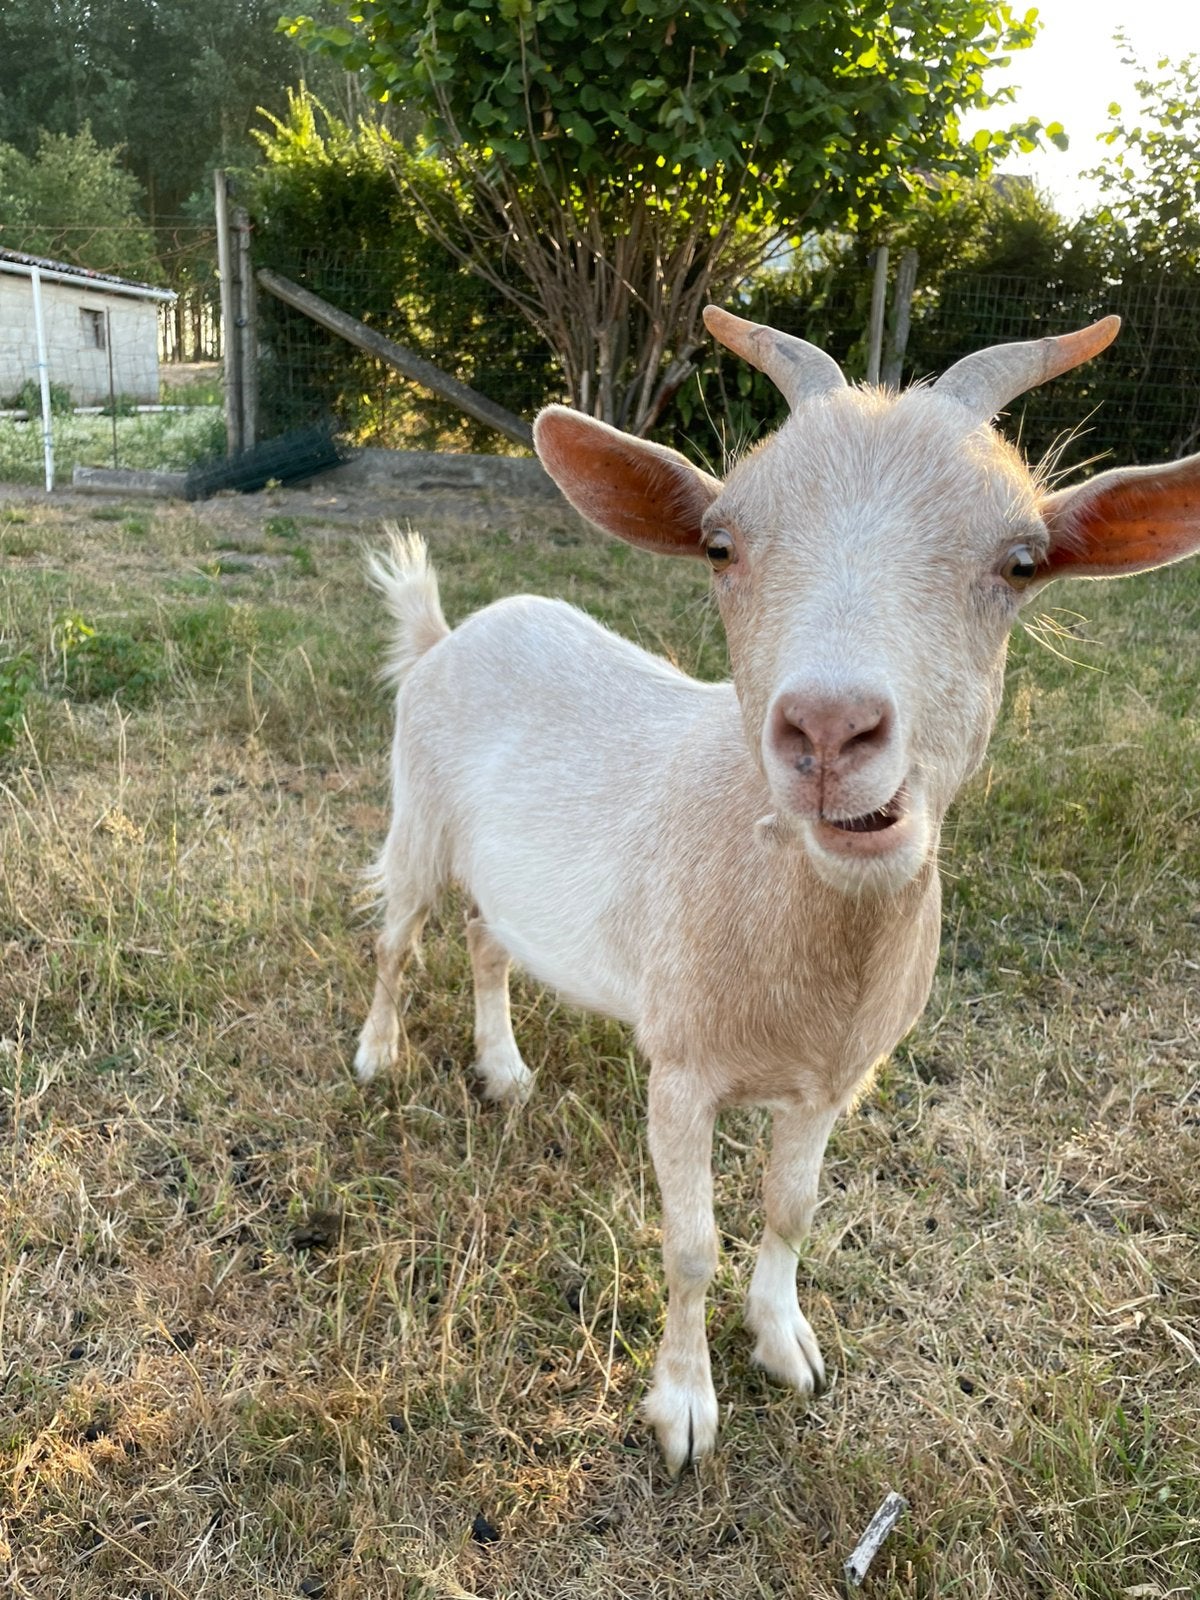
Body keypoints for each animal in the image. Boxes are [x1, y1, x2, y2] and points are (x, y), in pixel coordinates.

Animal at [355, 307, 1200, 1472]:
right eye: (721, 544)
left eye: (1022, 561)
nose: (830, 730)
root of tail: (452, 632)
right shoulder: (679, 1066)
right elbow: (690, 1242)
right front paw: (682, 1408)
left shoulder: (834, 1080)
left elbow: (793, 1209)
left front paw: (783, 1342)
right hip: (418, 815)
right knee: (396, 935)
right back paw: (377, 1054)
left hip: (507, 874)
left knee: (489, 941)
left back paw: (505, 1069)